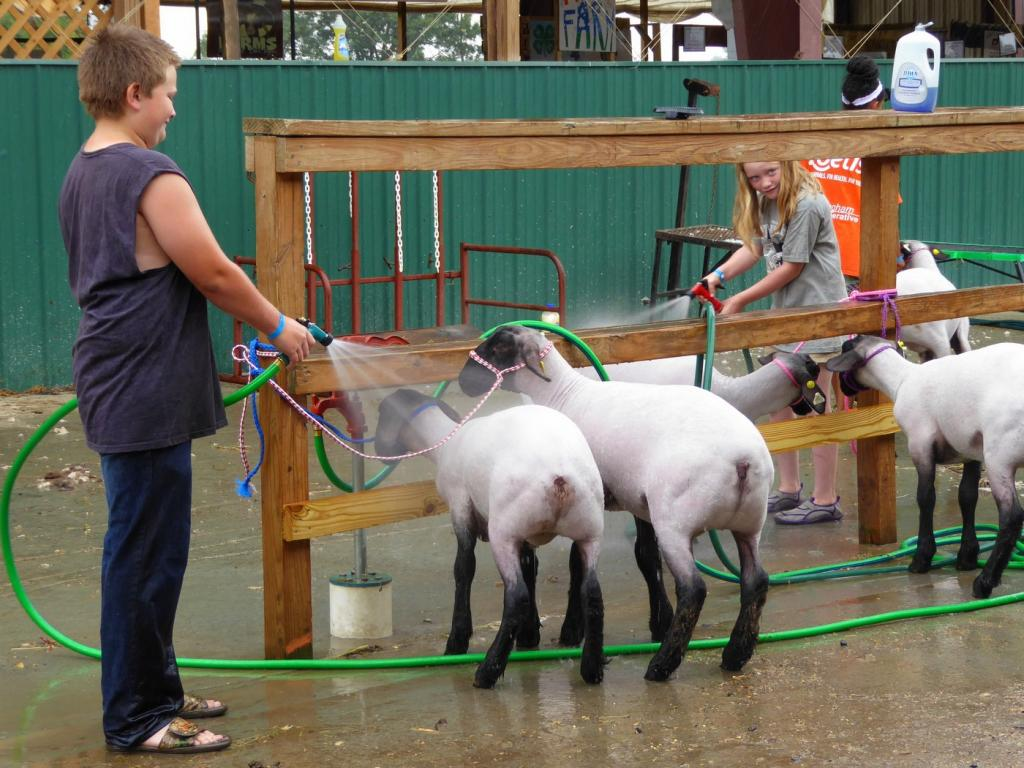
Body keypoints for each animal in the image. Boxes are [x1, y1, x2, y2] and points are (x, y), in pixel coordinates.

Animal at [460, 327, 770, 684]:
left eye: (497, 347)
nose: (463, 380)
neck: (563, 395)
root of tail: (743, 459)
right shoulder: (636, 501)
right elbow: (645, 558)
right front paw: (656, 622)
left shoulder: (594, 506)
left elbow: (577, 566)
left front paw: (571, 631)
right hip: (749, 522)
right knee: (756, 581)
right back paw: (735, 654)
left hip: (675, 519)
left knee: (694, 589)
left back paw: (661, 665)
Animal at [823, 337, 1024, 602]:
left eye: (845, 348)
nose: (845, 391)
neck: (901, 379)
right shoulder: (969, 449)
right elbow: (967, 497)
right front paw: (967, 557)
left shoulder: (920, 444)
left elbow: (926, 498)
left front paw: (922, 559)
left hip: (999, 455)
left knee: (1012, 517)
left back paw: (984, 583)